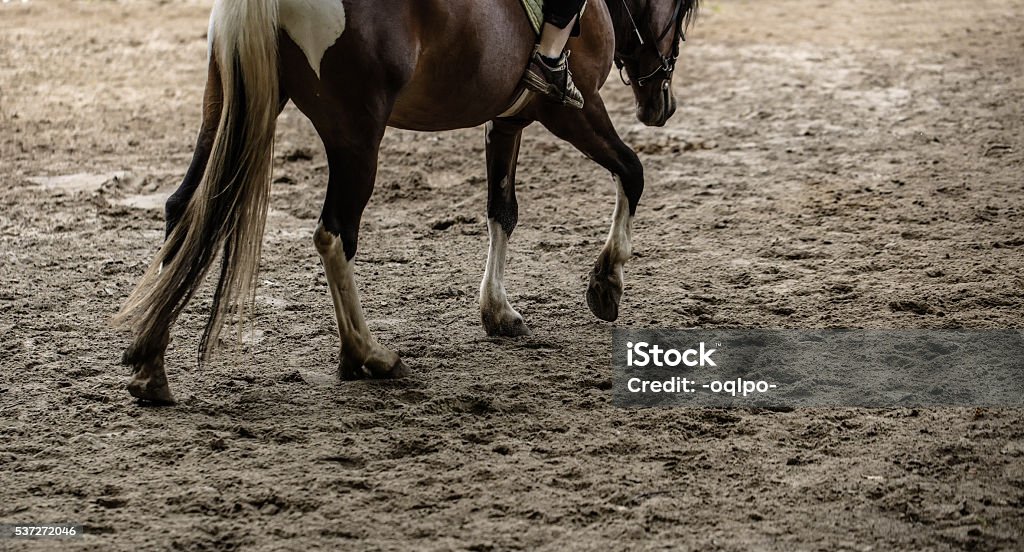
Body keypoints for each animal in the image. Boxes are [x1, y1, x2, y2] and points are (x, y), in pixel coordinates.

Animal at [116, 0, 700, 403]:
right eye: (683, 14)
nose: (661, 104)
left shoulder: (507, 119)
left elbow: (502, 211)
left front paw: (499, 312)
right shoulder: (572, 110)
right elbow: (632, 171)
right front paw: (606, 282)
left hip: (224, 104)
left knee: (183, 209)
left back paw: (150, 365)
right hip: (356, 136)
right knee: (334, 233)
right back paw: (367, 355)